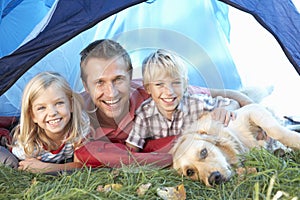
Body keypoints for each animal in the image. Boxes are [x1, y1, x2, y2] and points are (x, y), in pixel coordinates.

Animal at [171, 104, 300, 187]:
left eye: (203, 152)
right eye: (189, 172)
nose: (214, 179)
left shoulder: (252, 110)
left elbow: (275, 131)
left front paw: (296, 142)